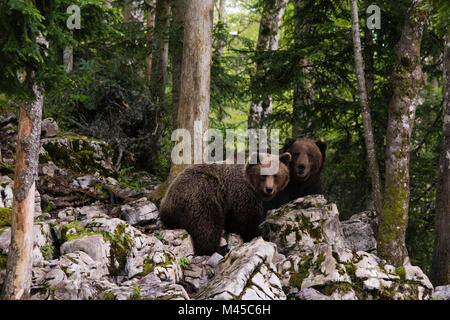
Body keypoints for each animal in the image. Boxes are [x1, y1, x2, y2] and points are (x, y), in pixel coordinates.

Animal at [158, 152, 292, 255]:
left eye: (276, 175)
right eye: (263, 175)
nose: (269, 189)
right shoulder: (242, 193)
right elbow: (248, 220)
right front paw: (257, 235)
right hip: (200, 197)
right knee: (207, 226)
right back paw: (218, 249)